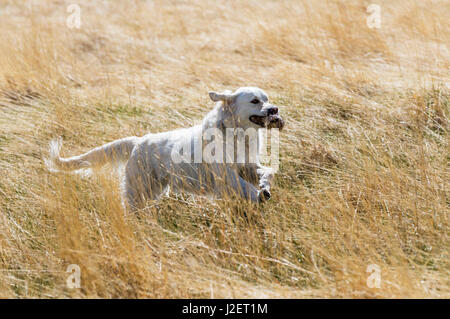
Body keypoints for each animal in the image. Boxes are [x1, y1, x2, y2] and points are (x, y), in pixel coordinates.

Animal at [46, 87, 284, 211]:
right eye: (255, 101)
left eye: (267, 99)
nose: (275, 109)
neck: (237, 134)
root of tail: (138, 141)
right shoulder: (225, 175)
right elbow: (244, 186)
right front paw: (258, 194)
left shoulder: (248, 165)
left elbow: (267, 172)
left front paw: (264, 188)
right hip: (138, 190)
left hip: (154, 189)